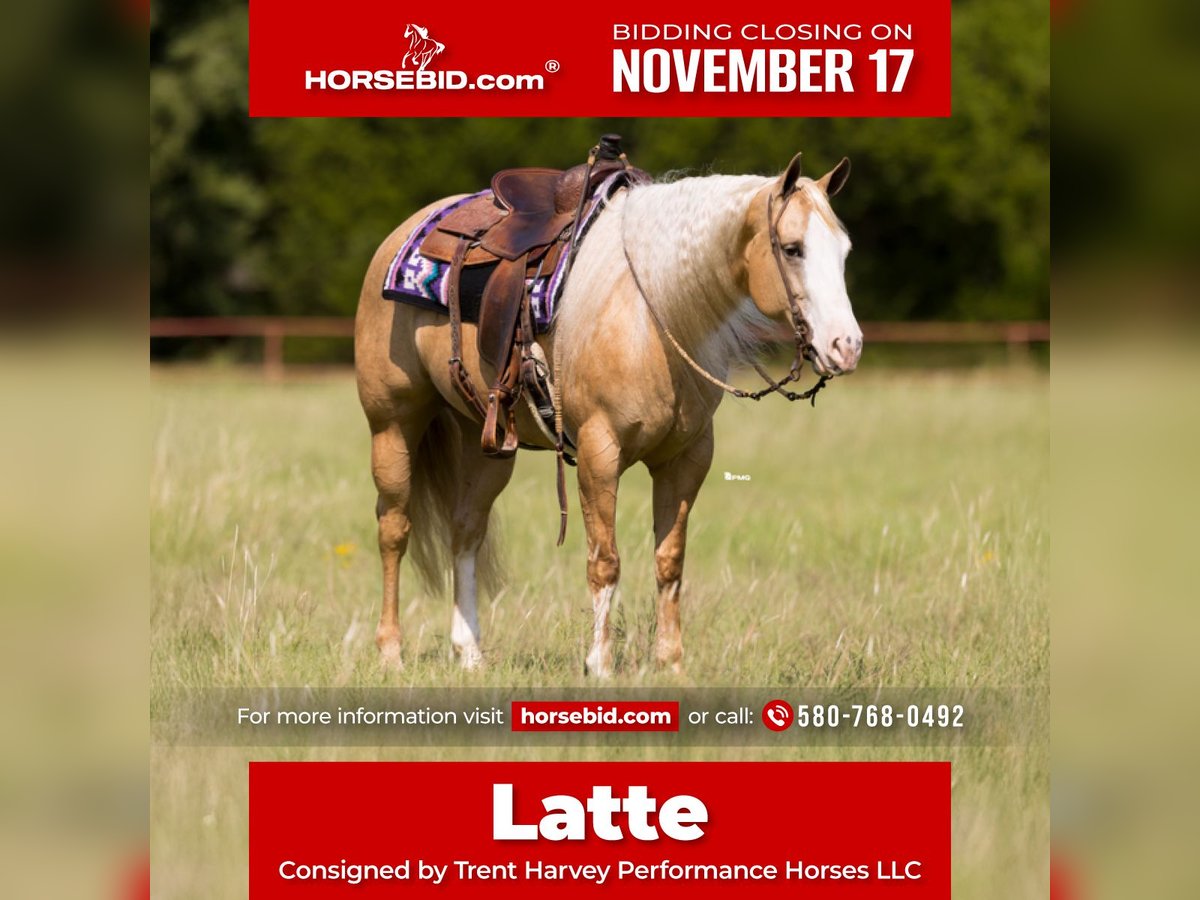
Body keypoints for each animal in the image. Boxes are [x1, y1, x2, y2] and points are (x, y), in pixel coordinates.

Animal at [354, 152, 861, 675]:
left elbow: (670, 560)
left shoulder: (687, 458)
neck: (650, 316)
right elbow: (605, 561)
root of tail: (410, 228)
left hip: (487, 443)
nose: (846, 346)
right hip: (392, 425)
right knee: (394, 528)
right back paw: (390, 652)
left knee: (465, 530)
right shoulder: (600, 453)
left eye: (843, 251)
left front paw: (671, 663)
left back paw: (469, 652)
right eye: (792, 249)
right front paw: (599, 663)